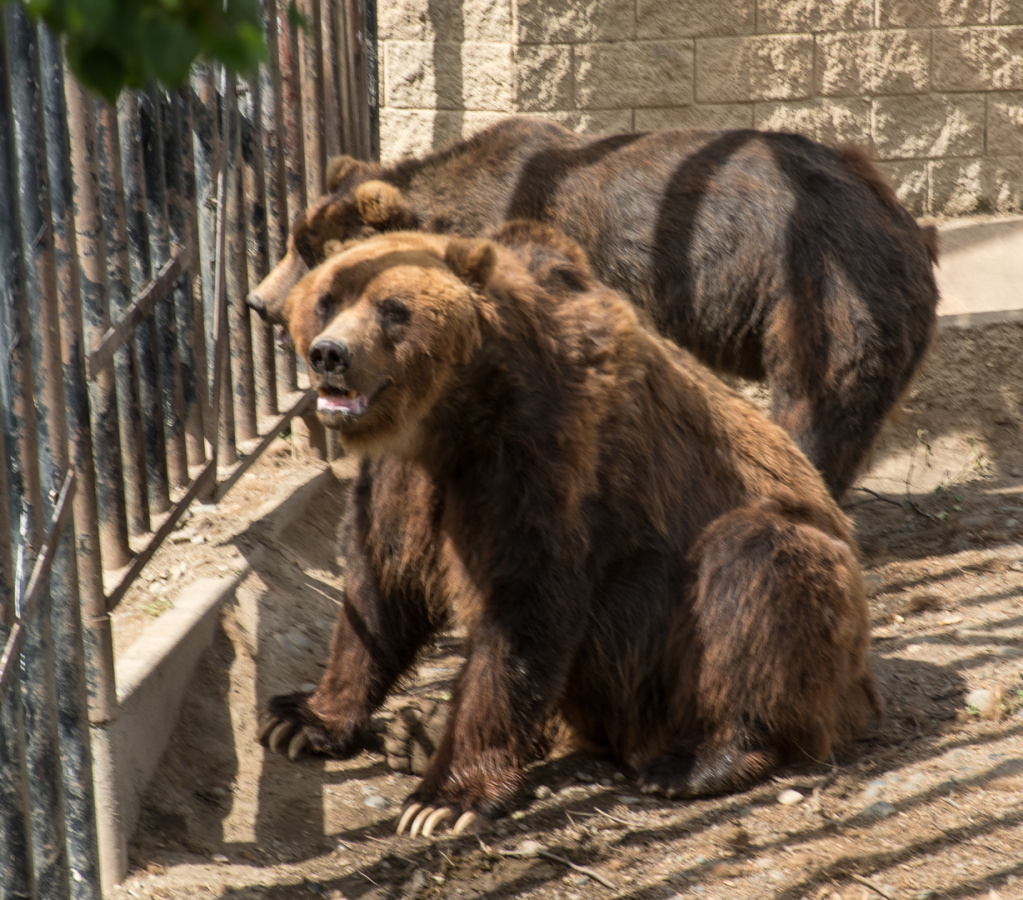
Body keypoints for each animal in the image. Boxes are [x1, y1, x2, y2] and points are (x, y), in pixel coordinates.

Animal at [246, 116, 940, 499]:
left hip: (820, 287)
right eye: (294, 242)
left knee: (816, 401)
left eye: (309, 253)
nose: (258, 301)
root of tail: (903, 220)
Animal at [258, 221, 881, 837]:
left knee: (755, 565)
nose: (330, 354)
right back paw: (416, 731)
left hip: (758, 629)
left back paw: (703, 758)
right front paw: (302, 718)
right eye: (327, 298)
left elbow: (524, 605)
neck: (452, 416)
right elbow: (380, 586)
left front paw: (444, 800)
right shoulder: (404, 479)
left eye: (393, 308)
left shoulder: (540, 454)